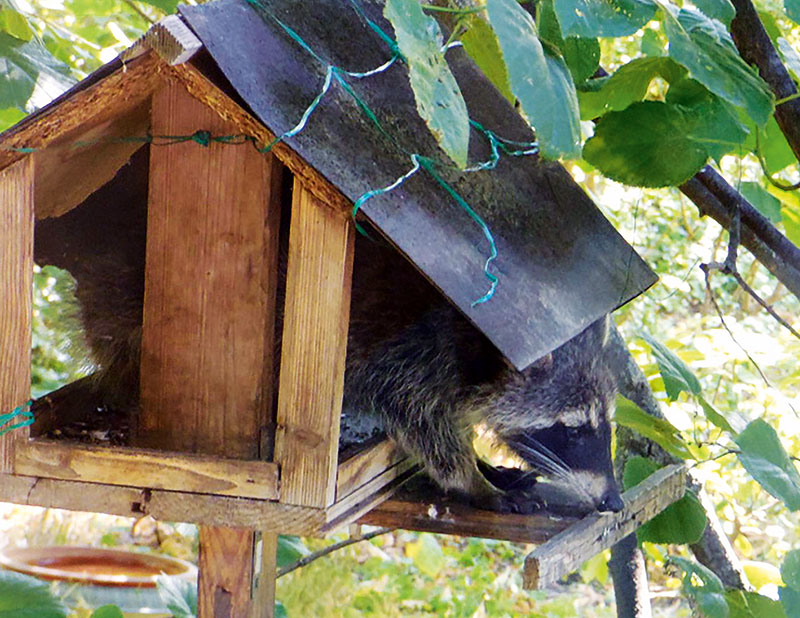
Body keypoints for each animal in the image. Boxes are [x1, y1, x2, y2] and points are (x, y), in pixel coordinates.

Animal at [36, 149, 624, 516]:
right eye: (573, 430)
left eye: (604, 425)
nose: (615, 502)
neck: (476, 345)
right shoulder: (406, 358)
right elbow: (419, 421)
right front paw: (469, 477)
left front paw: (482, 463)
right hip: (130, 305)